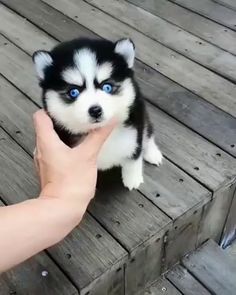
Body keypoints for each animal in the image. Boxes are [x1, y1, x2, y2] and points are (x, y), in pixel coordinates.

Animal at [33, 38, 162, 191]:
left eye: (107, 87)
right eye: (73, 92)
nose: (95, 110)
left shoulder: (136, 128)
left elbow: (134, 157)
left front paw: (132, 178)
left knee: (148, 132)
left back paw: (152, 153)